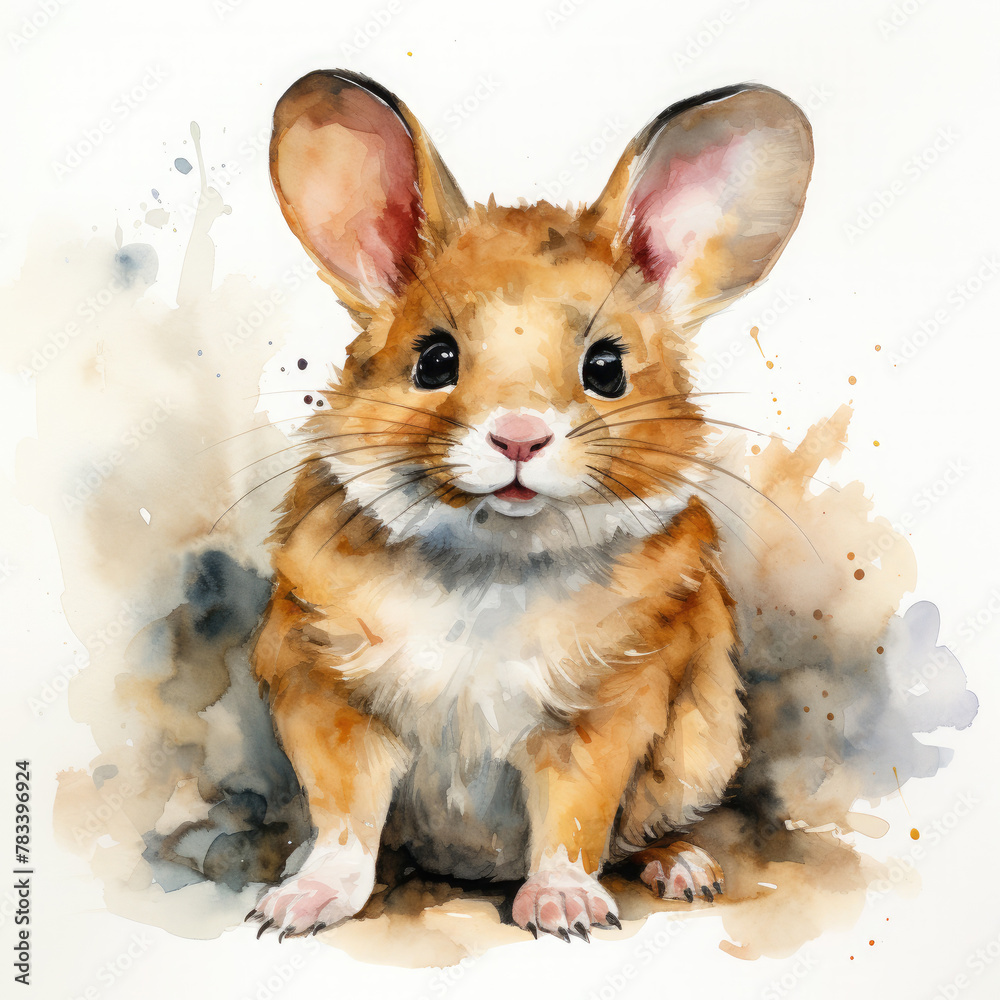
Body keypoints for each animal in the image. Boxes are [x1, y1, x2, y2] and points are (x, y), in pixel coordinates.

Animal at [246, 69, 813, 941]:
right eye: (435, 360)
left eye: (607, 368)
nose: (518, 438)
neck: (495, 559)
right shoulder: (329, 696)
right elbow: (345, 818)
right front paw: (298, 908)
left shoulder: (605, 717)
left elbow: (574, 820)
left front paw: (565, 909)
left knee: (635, 834)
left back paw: (684, 868)